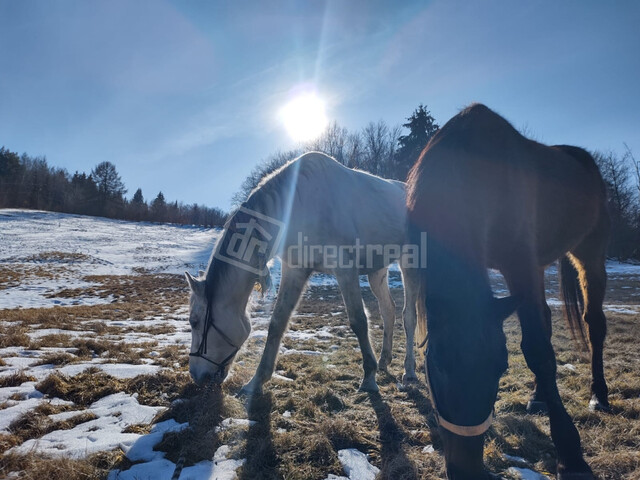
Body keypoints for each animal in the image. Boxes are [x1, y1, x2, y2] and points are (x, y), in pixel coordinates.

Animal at [186, 152, 424, 396]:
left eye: (194, 321)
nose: (196, 375)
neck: (302, 206)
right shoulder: (296, 270)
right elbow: (277, 323)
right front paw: (256, 382)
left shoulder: (344, 268)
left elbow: (358, 320)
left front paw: (368, 377)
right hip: (377, 271)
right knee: (388, 311)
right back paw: (385, 361)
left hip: (410, 263)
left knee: (409, 316)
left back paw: (409, 371)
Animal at [408, 105, 608, 480]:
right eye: (436, 365)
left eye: (501, 367)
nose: (467, 471)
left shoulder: (520, 263)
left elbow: (538, 352)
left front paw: (571, 456)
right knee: (546, 318)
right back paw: (539, 397)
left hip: (589, 249)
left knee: (594, 324)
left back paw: (599, 395)